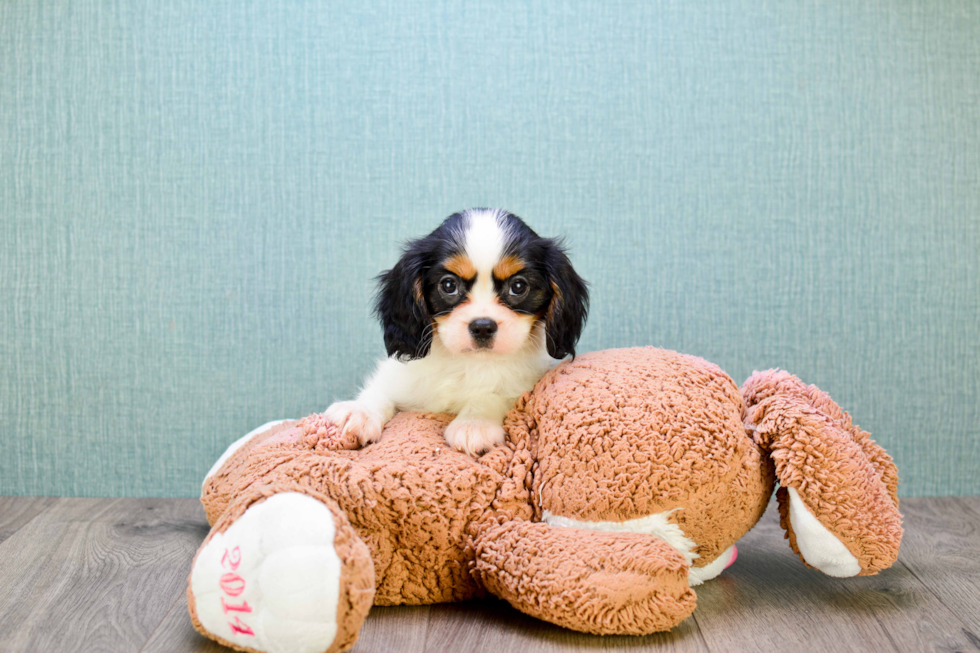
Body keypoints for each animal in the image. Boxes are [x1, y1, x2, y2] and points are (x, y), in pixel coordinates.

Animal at [328, 208, 588, 454]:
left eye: (518, 286)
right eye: (448, 285)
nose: (482, 326)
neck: (465, 363)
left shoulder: (520, 387)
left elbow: (492, 395)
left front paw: (474, 424)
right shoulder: (401, 377)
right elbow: (380, 391)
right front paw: (359, 411)